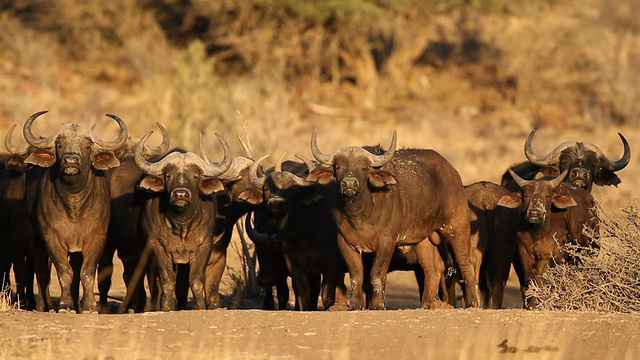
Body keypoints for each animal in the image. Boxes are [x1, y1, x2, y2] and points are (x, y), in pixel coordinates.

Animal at [19, 109, 129, 312]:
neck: (74, 207)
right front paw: (65, 304)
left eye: (87, 145)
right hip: (35, 239)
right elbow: (64, 272)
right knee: (42, 272)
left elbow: (87, 272)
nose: (71, 160)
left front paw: (88, 306)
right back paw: (44, 305)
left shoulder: (97, 237)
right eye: (60, 144)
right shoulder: (51, 238)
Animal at [135, 131, 232, 310]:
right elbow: (167, 279)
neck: (181, 225)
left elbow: (196, 280)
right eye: (168, 175)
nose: (180, 194)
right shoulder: (156, 245)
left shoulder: (205, 246)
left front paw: (200, 307)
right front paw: (167, 307)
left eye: (195, 176)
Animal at [498, 170, 596, 308]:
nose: (534, 212)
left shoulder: (556, 255)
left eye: (547, 195)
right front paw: (533, 304)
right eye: (526, 195)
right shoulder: (524, 253)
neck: (539, 233)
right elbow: (532, 279)